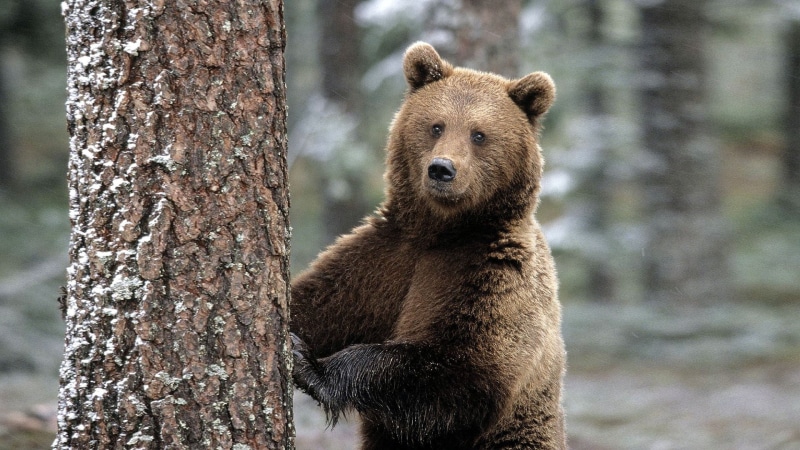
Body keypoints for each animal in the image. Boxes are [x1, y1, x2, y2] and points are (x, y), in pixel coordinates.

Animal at [290, 41, 566, 450]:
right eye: (436, 125)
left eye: (479, 134)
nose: (442, 169)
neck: (443, 231)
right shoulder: (385, 258)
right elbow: (319, 302)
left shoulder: (489, 275)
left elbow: (457, 370)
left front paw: (311, 366)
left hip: (518, 437)